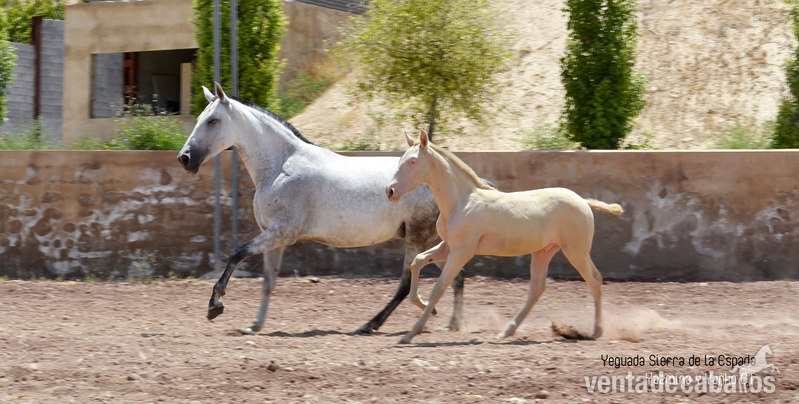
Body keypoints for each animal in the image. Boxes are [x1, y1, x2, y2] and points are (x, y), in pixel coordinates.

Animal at [176, 82, 474, 335]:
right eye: (199, 119)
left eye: (213, 121)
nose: (184, 158)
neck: (281, 166)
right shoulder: (275, 237)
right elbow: (268, 282)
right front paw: (254, 325)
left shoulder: (281, 232)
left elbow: (236, 254)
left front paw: (215, 305)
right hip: (435, 240)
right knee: (455, 275)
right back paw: (451, 324)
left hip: (416, 235)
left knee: (405, 283)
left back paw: (370, 325)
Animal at [385, 130, 624, 344]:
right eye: (401, 159)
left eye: (413, 161)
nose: (390, 191)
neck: (461, 202)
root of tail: (584, 201)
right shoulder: (447, 247)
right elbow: (418, 262)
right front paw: (426, 307)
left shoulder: (462, 251)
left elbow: (439, 288)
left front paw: (411, 333)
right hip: (544, 251)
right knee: (537, 288)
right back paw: (506, 332)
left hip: (576, 251)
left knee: (594, 280)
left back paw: (596, 332)